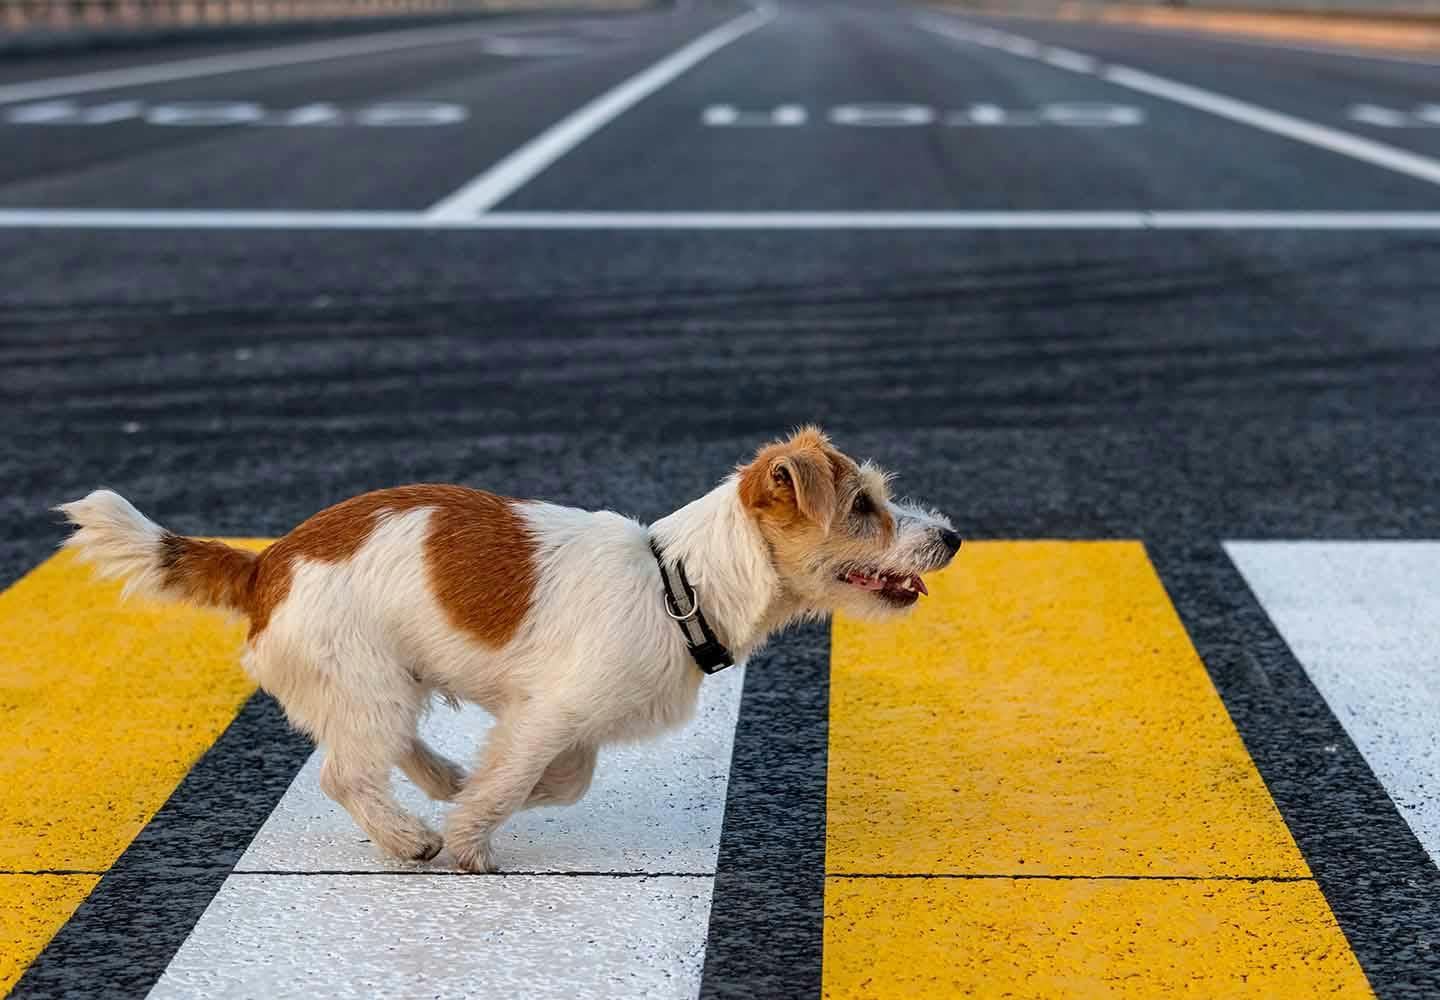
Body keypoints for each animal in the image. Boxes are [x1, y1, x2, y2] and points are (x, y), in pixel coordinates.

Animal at [56, 426, 961, 876]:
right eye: (863, 507)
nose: (951, 537)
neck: (679, 583)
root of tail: (263, 564)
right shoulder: (551, 712)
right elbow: (521, 779)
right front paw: (467, 842)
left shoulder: (558, 721)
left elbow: (559, 778)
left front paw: (470, 795)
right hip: (369, 682)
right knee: (345, 774)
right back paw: (408, 838)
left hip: (381, 685)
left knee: (378, 747)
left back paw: (438, 777)